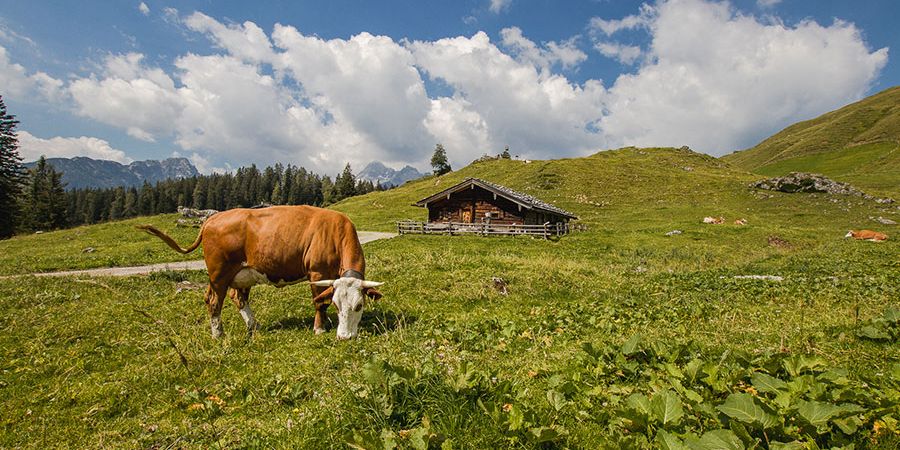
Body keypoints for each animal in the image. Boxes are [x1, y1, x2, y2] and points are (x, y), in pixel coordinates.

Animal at [137, 205, 384, 339]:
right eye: (337, 304)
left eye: (359, 305)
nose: (345, 337)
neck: (336, 231)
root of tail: (213, 218)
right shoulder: (317, 273)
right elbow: (318, 303)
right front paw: (320, 328)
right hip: (219, 273)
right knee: (214, 301)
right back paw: (218, 334)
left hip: (239, 273)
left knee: (236, 298)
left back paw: (253, 326)